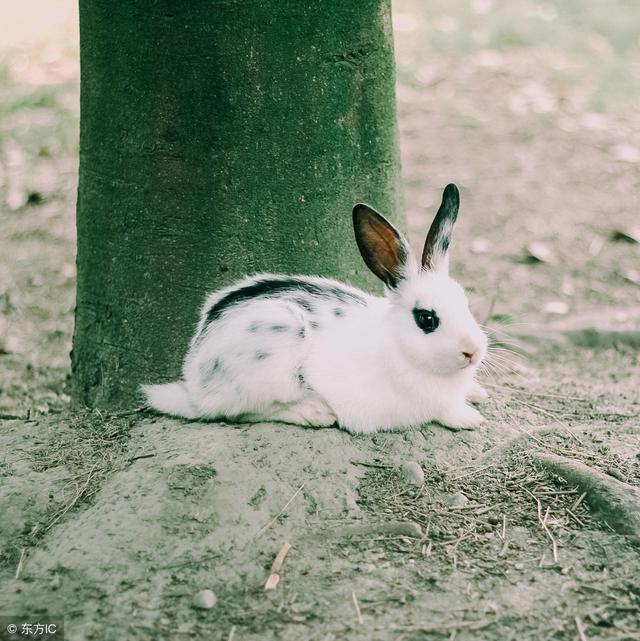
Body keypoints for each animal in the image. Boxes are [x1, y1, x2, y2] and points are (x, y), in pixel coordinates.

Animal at [142, 185, 488, 436]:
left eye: (466, 303)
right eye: (426, 319)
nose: (472, 351)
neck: (399, 345)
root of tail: (195, 379)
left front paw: (478, 393)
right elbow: (446, 411)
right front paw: (471, 419)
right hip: (272, 363)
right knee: (237, 411)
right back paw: (314, 412)